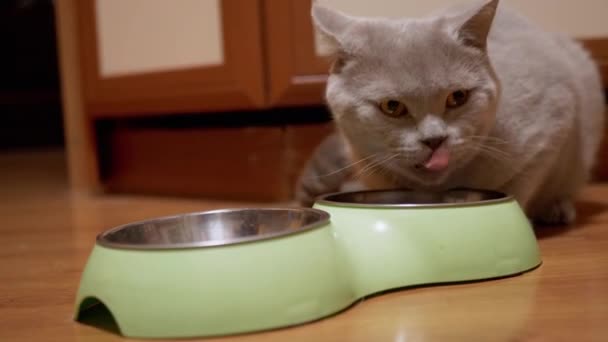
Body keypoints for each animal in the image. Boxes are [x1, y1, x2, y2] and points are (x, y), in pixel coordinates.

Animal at [294, 0, 604, 224]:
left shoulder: (551, 127)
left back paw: (557, 209)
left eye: (458, 97)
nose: (434, 140)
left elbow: (519, 188)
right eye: (392, 106)